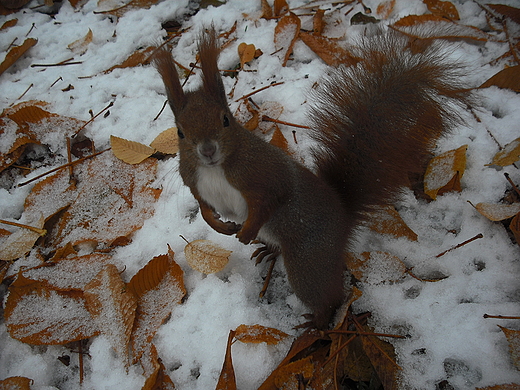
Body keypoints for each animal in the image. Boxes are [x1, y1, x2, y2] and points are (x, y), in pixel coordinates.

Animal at [153, 26, 472, 330]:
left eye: (225, 119)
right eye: (180, 132)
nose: (207, 151)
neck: (215, 169)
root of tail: (342, 217)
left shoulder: (265, 176)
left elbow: (270, 200)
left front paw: (245, 231)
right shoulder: (194, 182)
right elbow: (204, 207)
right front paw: (219, 225)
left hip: (307, 260)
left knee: (328, 295)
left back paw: (318, 321)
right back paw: (268, 250)